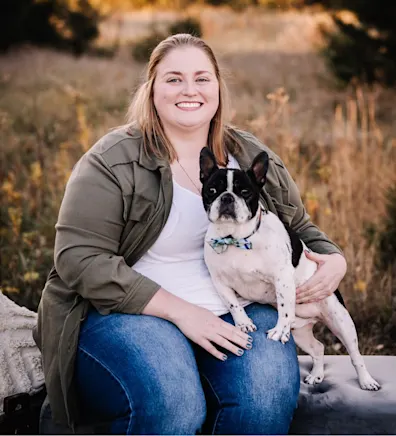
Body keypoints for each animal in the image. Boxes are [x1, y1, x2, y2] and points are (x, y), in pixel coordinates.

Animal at [201, 147, 380, 392]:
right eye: (211, 190)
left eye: (245, 192)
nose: (227, 197)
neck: (237, 238)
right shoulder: (219, 281)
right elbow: (233, 304)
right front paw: (244, 323)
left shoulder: (282, 278)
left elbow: (285, 308)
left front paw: (278, 329)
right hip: (301, 333)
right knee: (318, 347)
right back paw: (316, 375)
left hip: (341, 322)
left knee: (355, 355)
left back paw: (366, 381)